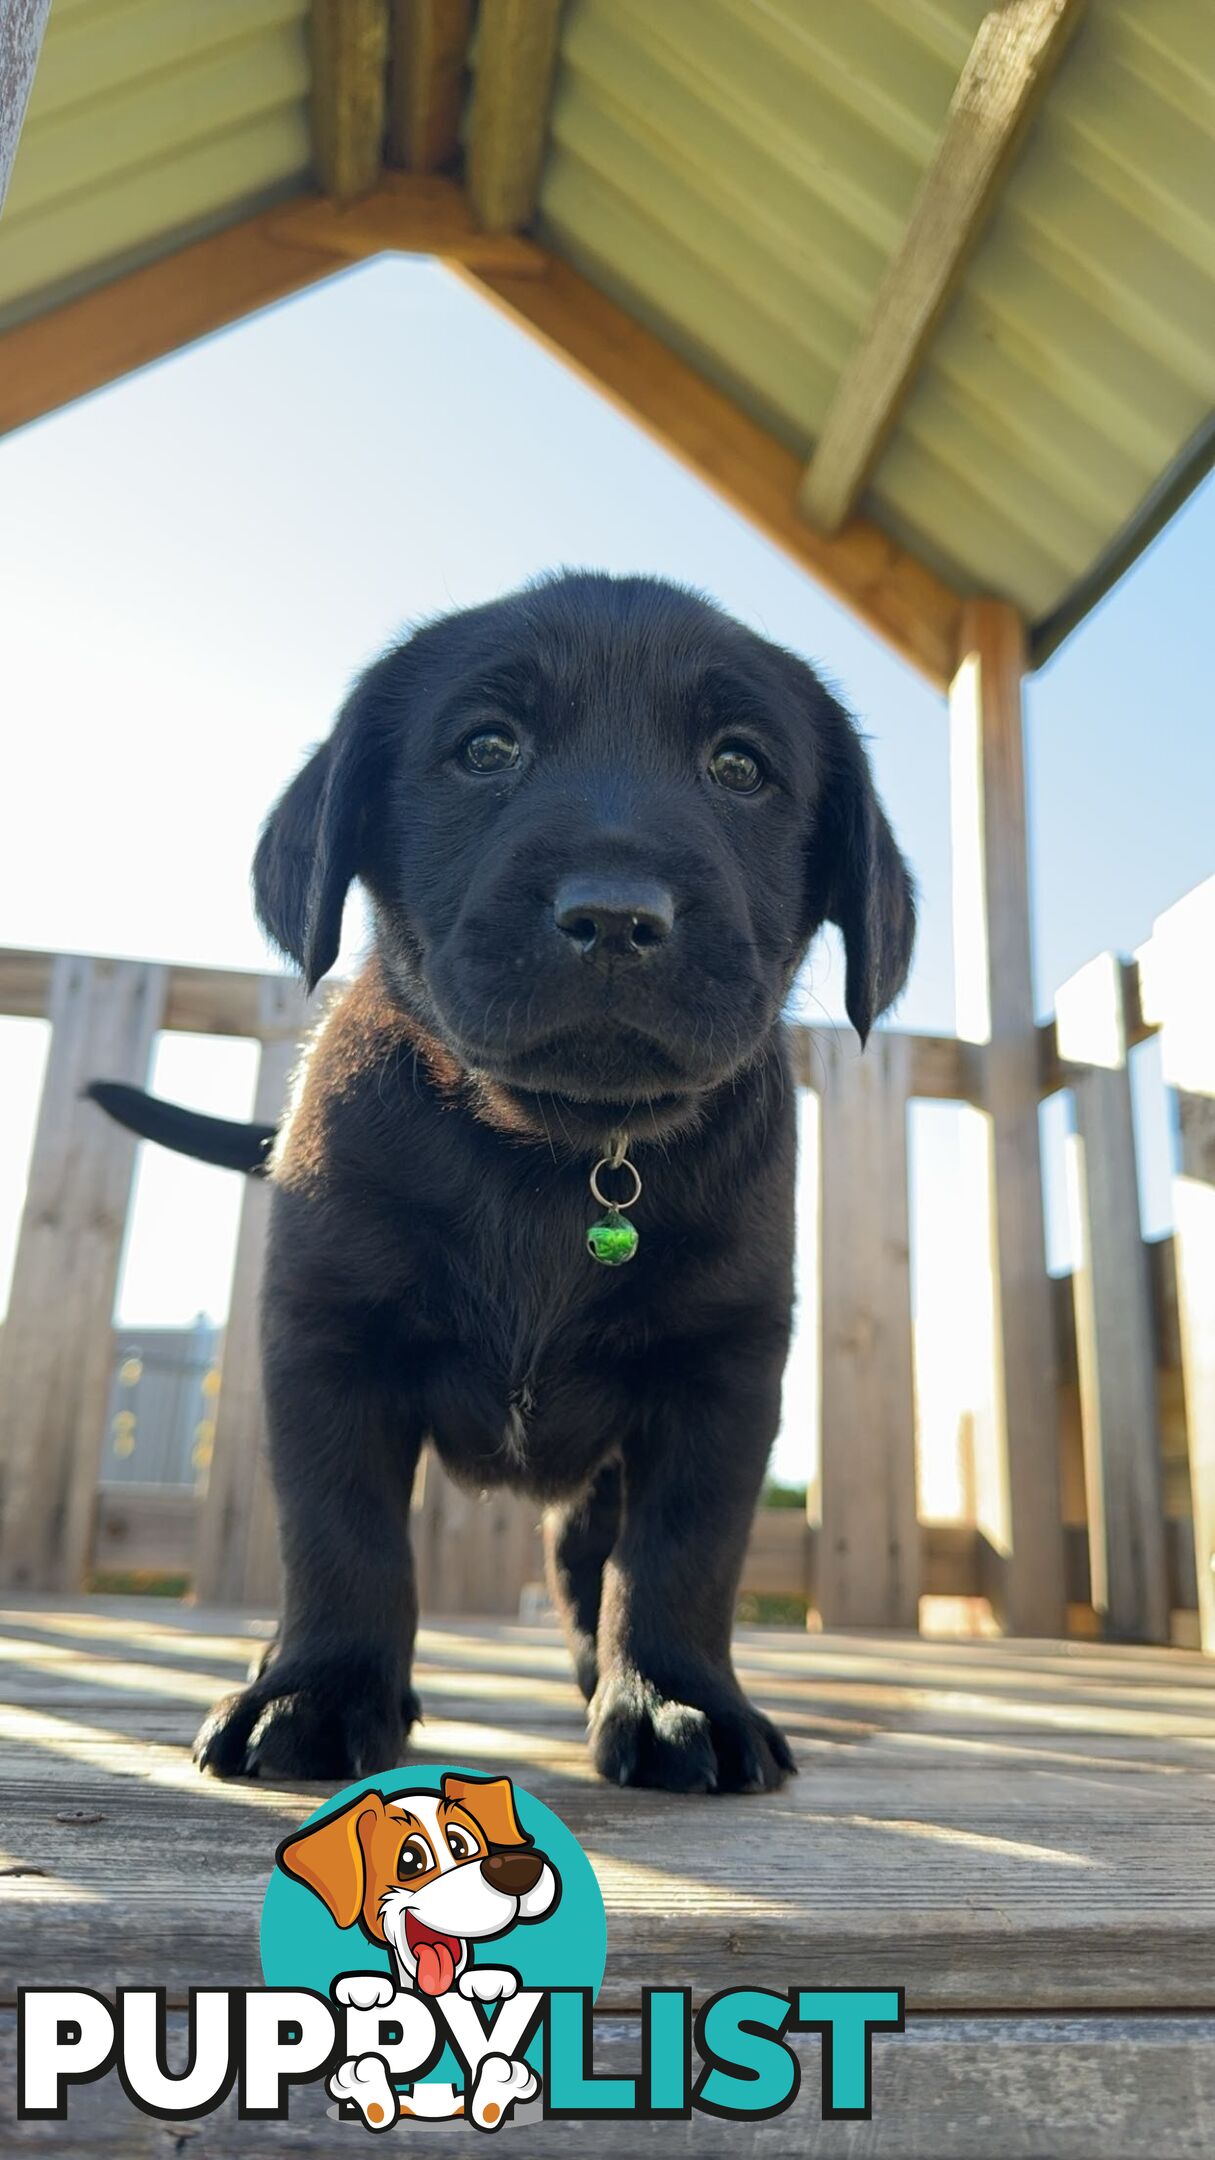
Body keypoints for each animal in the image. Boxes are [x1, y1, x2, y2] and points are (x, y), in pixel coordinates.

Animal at [94, 570, 908, 1788]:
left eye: (739, 766)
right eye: (486, 747)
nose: (616, 915)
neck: (567, 1157)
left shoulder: (724, 1371)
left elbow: (683, 1552)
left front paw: (678, 1699)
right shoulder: (326, 1339)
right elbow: (341, 1534)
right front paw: (317, 1691)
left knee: (587, 1561)